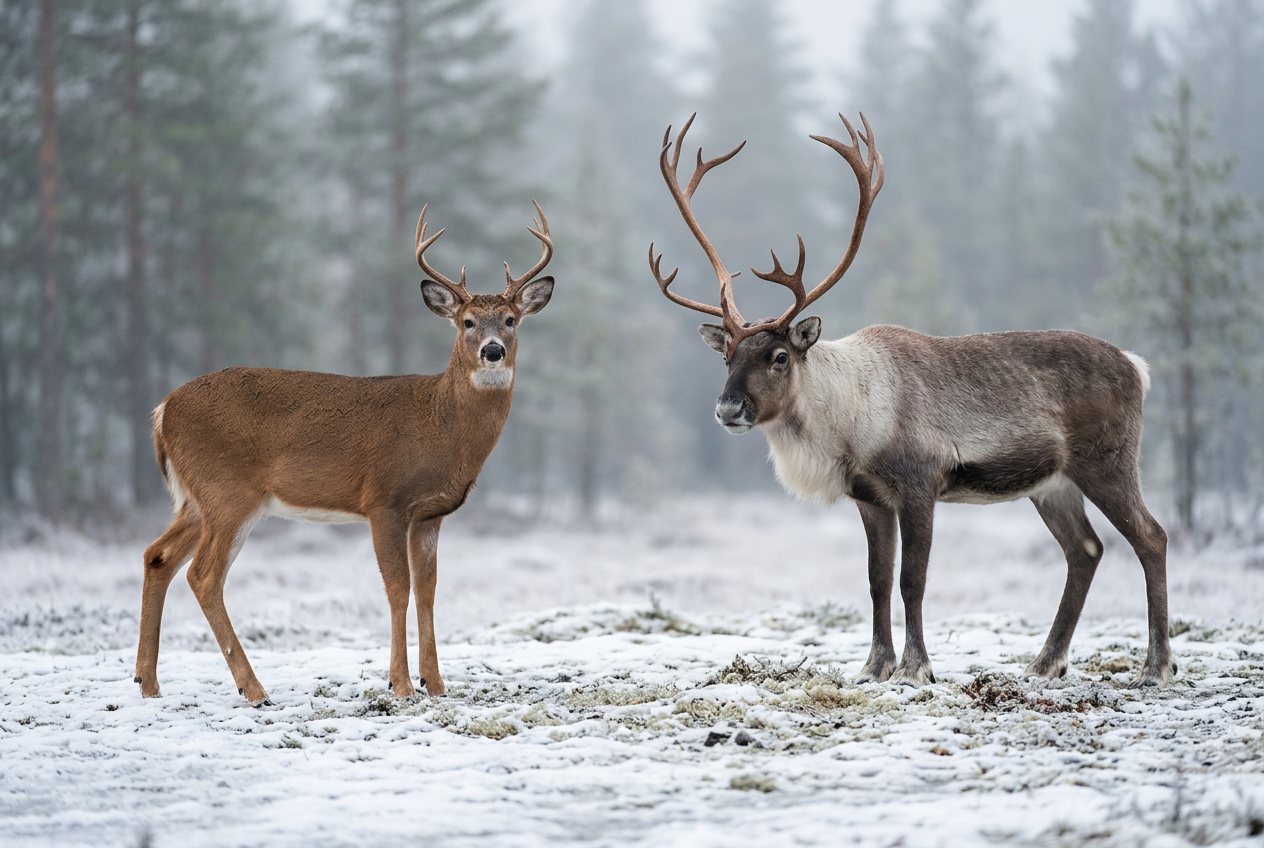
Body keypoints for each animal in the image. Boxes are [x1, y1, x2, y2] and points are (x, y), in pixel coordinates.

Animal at [135, 202, 555, 705]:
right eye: (467, 321)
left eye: (511, 320)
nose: (492, 351)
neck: (441, 424)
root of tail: (162, 410)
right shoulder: (385, 499)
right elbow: (398, 588)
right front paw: (400, 684)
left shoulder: (430, 513)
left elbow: (429, 590)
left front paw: (435, 683)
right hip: (228, 492)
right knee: (203, 575)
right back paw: (253, 689)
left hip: (195, 499)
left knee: (157, 556)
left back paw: (148, 683)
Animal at [649, 113, 1174, 688]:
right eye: (728, 356)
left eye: (780, 355)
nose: (728, 410)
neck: (850, 421)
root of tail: (1138, 366)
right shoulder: (870, 498)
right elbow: (876, 581)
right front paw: (874, 665)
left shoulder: (921, 483)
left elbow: (912, 580)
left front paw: (916, 667)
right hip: (1052, 484)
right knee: (1086, 550)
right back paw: (1045, 662)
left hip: (1107, 462)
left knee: (1152, 537)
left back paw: (1156, 666)